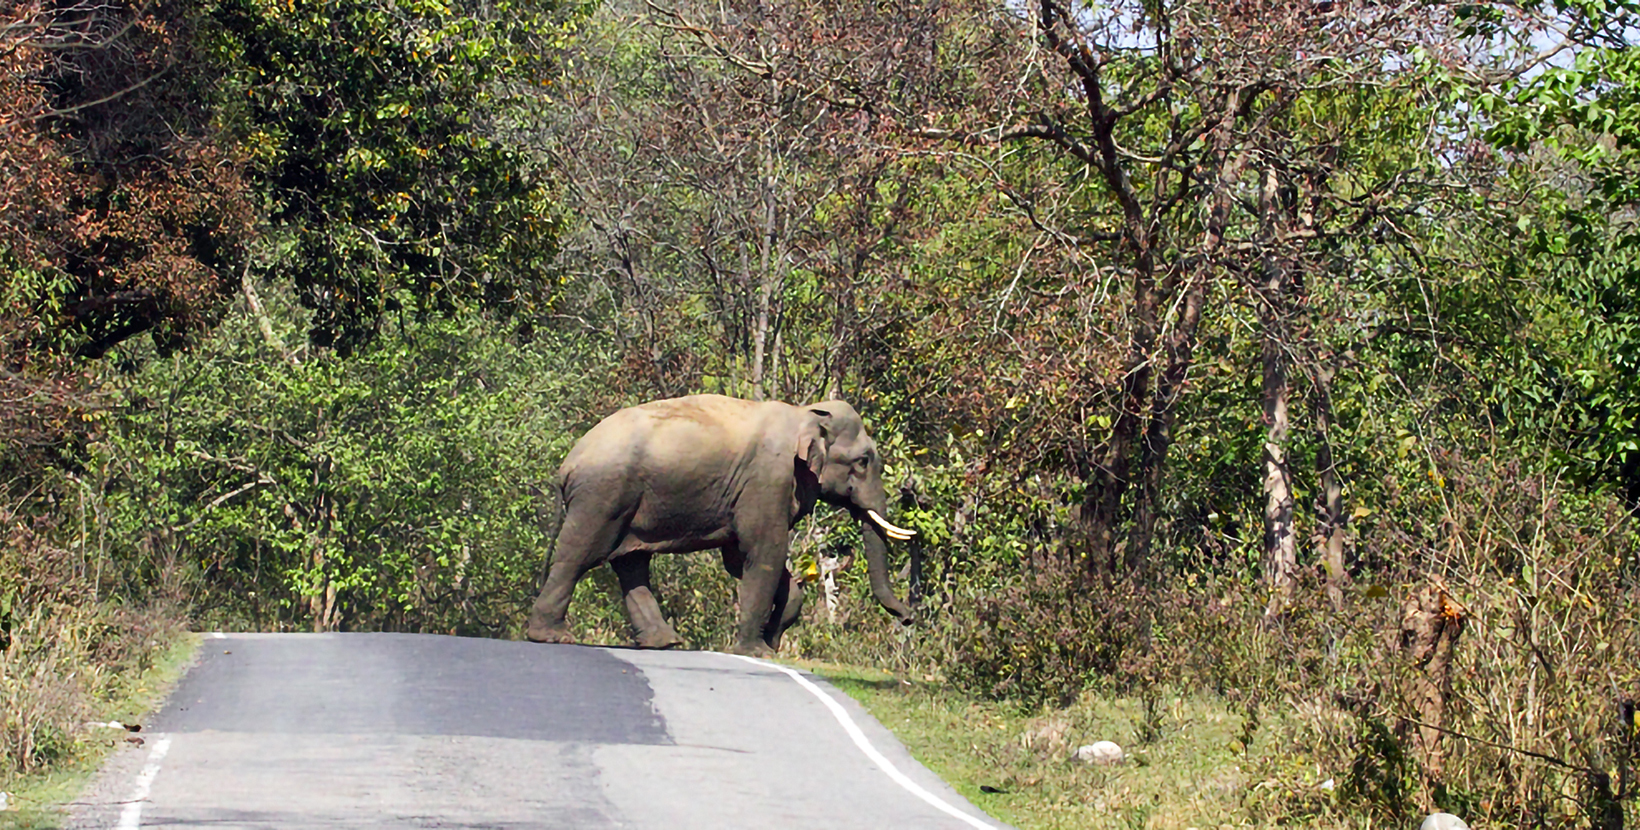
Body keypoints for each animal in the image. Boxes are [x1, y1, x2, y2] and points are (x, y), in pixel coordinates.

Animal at [524, 392, 918, 659]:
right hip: (603, 495)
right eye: (863, 461)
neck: (805, 412)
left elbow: (741, 559)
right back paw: (551, 637)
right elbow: (763, 552)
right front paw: (756, 651)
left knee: (630, 563)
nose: (909, 619)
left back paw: (664, 642)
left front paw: (772, 642)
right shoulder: (768, 480)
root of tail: (567, 464)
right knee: (581, 555)